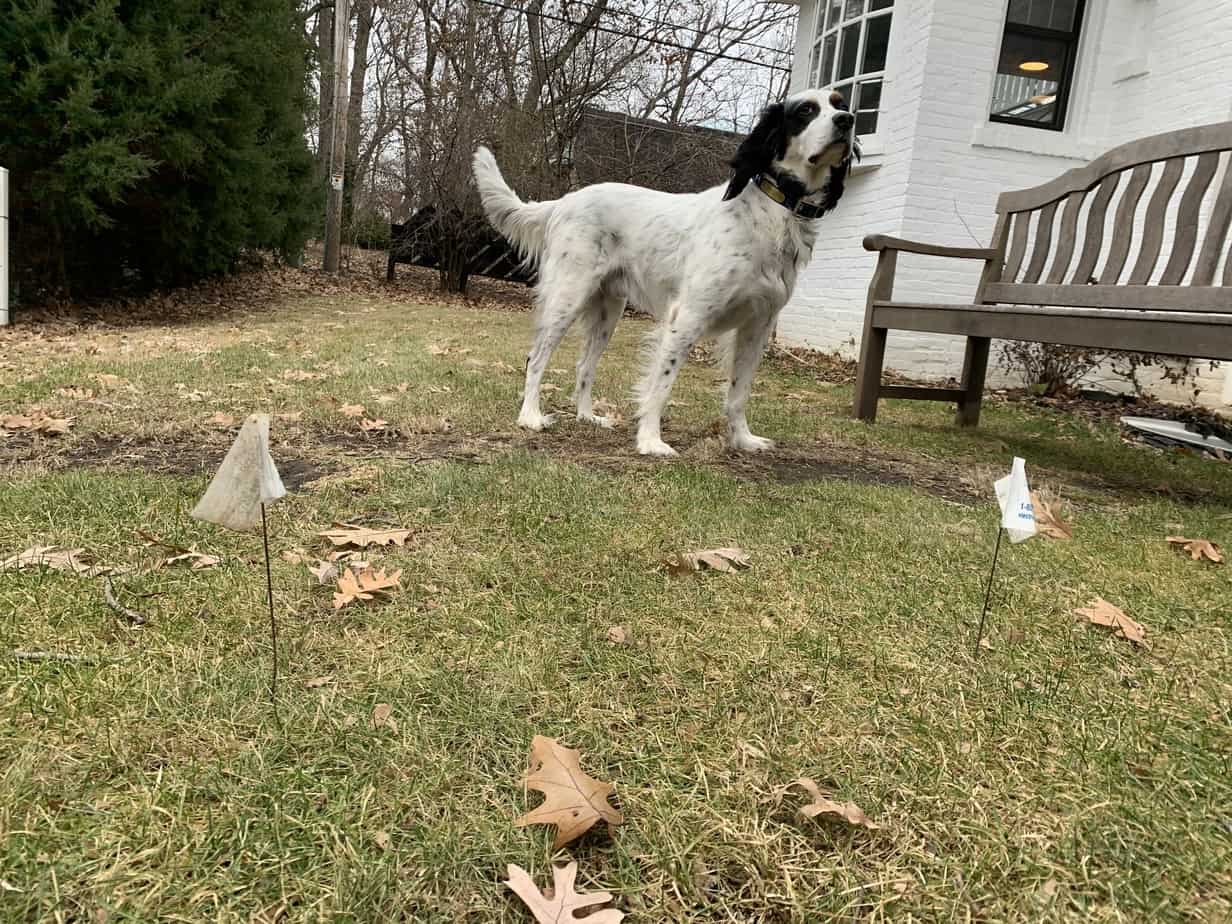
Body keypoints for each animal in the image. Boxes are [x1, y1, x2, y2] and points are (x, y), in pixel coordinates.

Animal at [470, 88, 857, 458]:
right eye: (805, 111)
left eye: (840, 104)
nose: (847, 120)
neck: (774, 213)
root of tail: (563, 202)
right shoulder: (687, 317)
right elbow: (661, 385)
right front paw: (650, 441)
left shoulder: (756, 327)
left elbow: (739, 391)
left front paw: (743, 439)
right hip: (568, 297)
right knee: (536, 357)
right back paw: (530, 417)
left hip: (608, 313)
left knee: (584, 366)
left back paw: (588, 417)